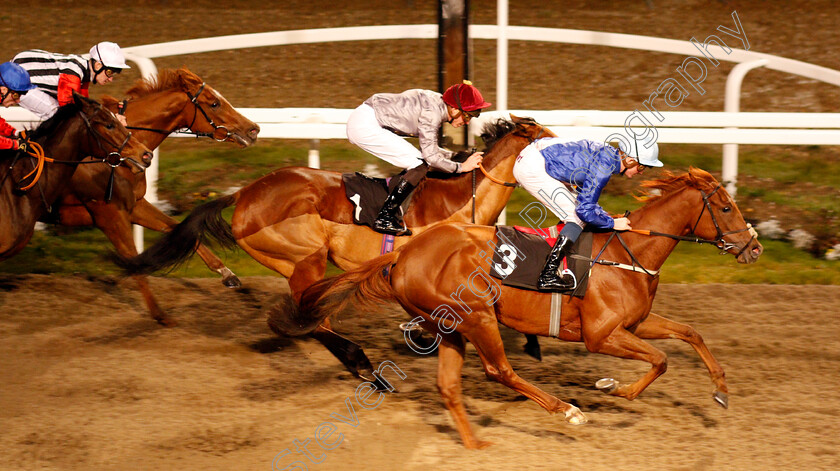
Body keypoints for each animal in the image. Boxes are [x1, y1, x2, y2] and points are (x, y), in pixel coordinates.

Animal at [46, 68, 256, 326]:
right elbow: (132, 259)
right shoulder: (108, 216)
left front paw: (228, 274)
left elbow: (178, 228)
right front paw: (160, 314)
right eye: (214, 103)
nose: (253, 129)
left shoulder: (134, 206)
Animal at [116, 116, 552, 378]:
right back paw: (362, 364)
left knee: (312, 315)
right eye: (553, 143)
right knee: (312, 317)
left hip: (294, 264)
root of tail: (243, 194)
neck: (460, 199)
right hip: (306, 257)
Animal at [272, 168, 764, 448]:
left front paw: (721, 391)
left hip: (450, 326)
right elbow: (660, 359)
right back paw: (567, 410)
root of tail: (404, 254)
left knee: (450, 385)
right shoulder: (601, 335)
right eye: (725, 207)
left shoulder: (637, 322)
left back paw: (476, 446)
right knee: (499, 371)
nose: (754, 248)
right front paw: (613, 388)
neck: (631, 252)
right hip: (477, 316)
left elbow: (689, 334)